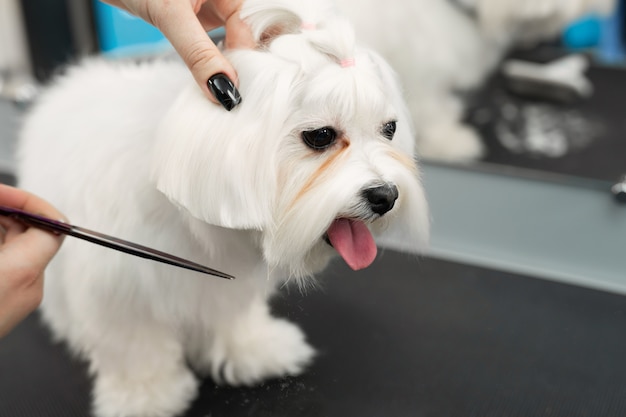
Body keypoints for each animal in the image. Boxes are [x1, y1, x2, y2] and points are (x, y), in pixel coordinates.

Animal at [15, 0, 428, 416]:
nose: (386, 195)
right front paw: (145, 396)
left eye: (389, 129)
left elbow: (232, 315)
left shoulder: (227, 283)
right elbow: (136, 346)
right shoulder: (120, 289)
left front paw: (253, 349)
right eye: (320, 136)